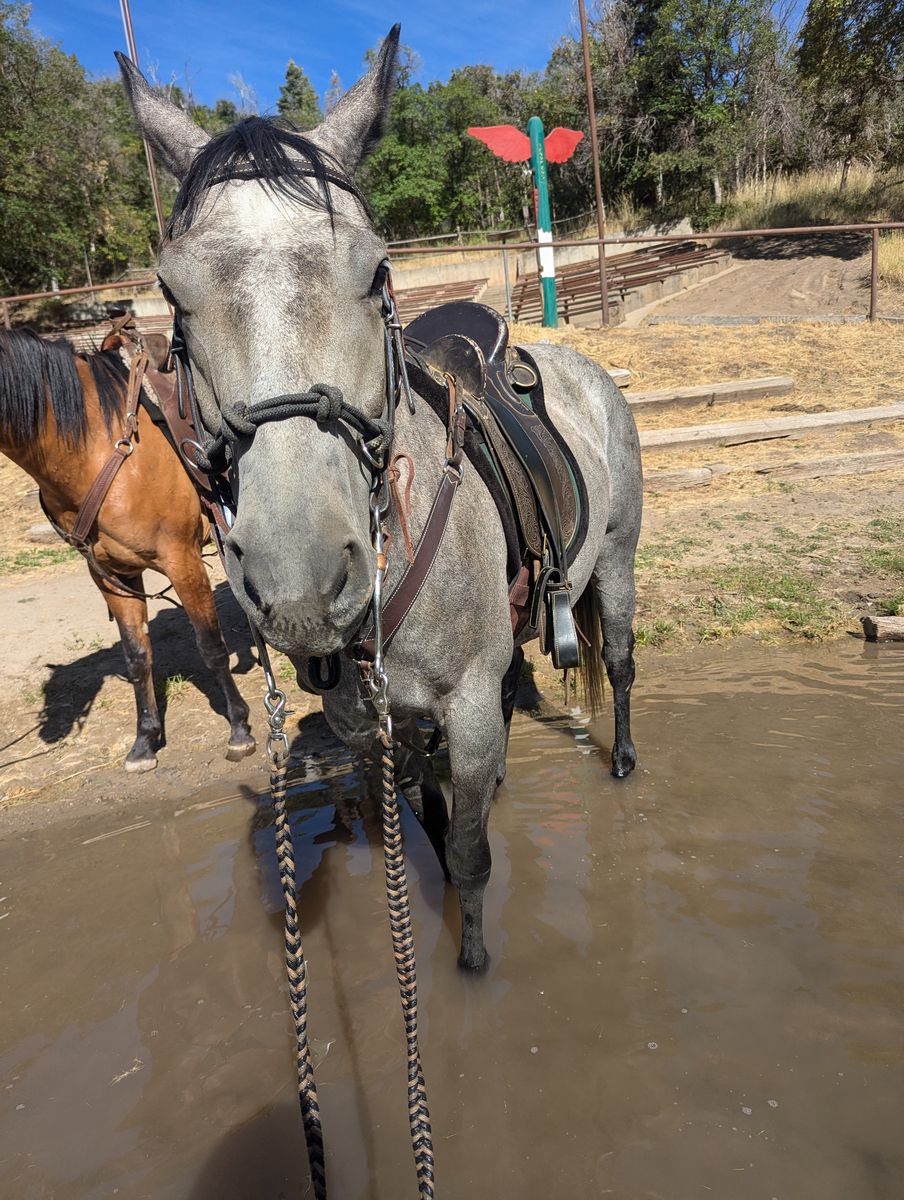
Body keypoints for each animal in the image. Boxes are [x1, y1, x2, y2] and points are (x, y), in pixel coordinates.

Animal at [0, 327, 256, 771]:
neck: (97, 447)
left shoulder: (182, 561)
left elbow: (211, 647)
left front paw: (239, 728)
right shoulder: (112, 575)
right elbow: (137, 656)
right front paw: (145, 740)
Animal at [117, 24, 642, 970]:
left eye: (375, 271)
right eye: (172, 293)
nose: (300, 579)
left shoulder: (464, 706)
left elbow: (467, 854)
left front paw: (473, 961)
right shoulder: (369, 722)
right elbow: (425, 828)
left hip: (616, 561)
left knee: (617, 661)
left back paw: (620, 757)